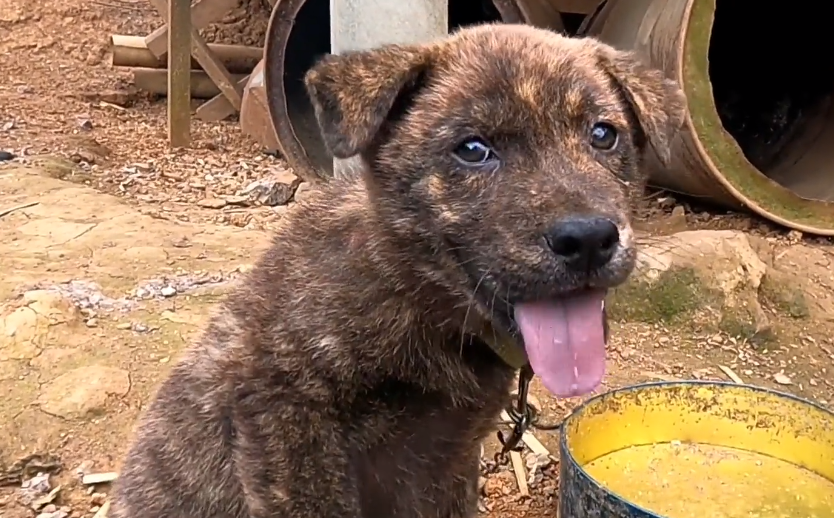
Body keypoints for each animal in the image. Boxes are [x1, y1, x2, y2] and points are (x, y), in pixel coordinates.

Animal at [109, 23, 684, 518]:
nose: (587, 239)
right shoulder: (280, 419)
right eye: (473, 149)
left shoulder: (447, 461)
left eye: (603, 134)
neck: (412, 292)